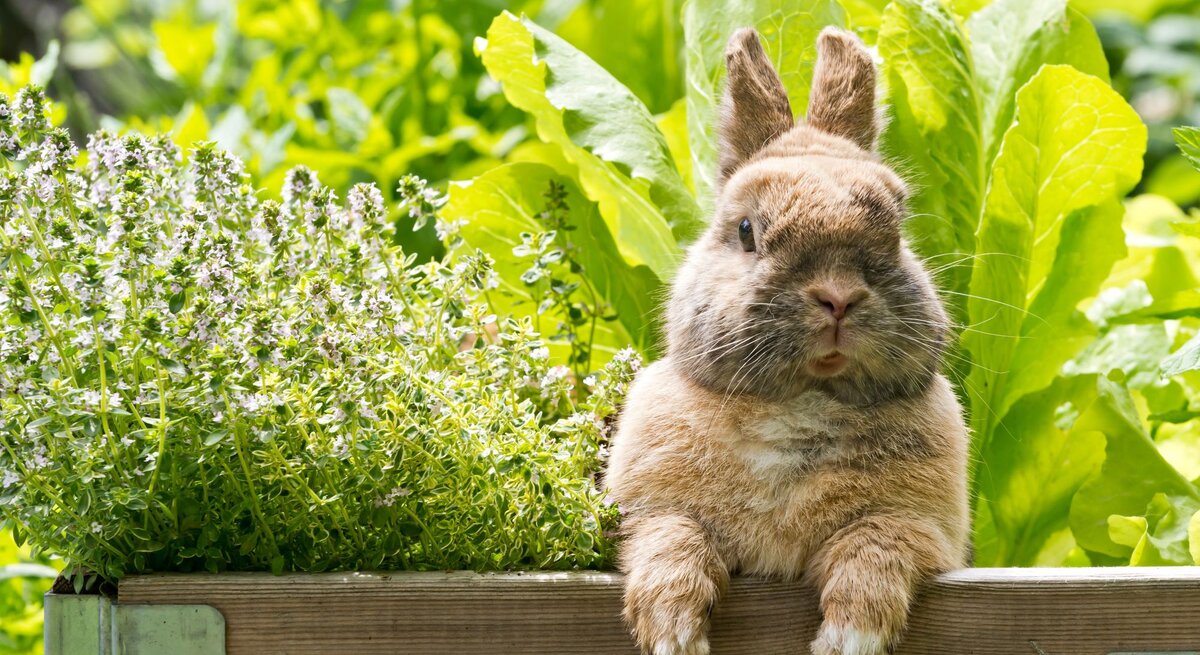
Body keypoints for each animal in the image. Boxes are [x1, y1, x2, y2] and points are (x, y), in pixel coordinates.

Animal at [604, 27, 970, 655]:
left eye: (898, 226)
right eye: (747, 230)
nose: (838, 297)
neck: (801, 402)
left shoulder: (918, 525)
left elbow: (875, 550)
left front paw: (848, 639)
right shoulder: (648, 511)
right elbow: (670, 540)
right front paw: (673, 633)